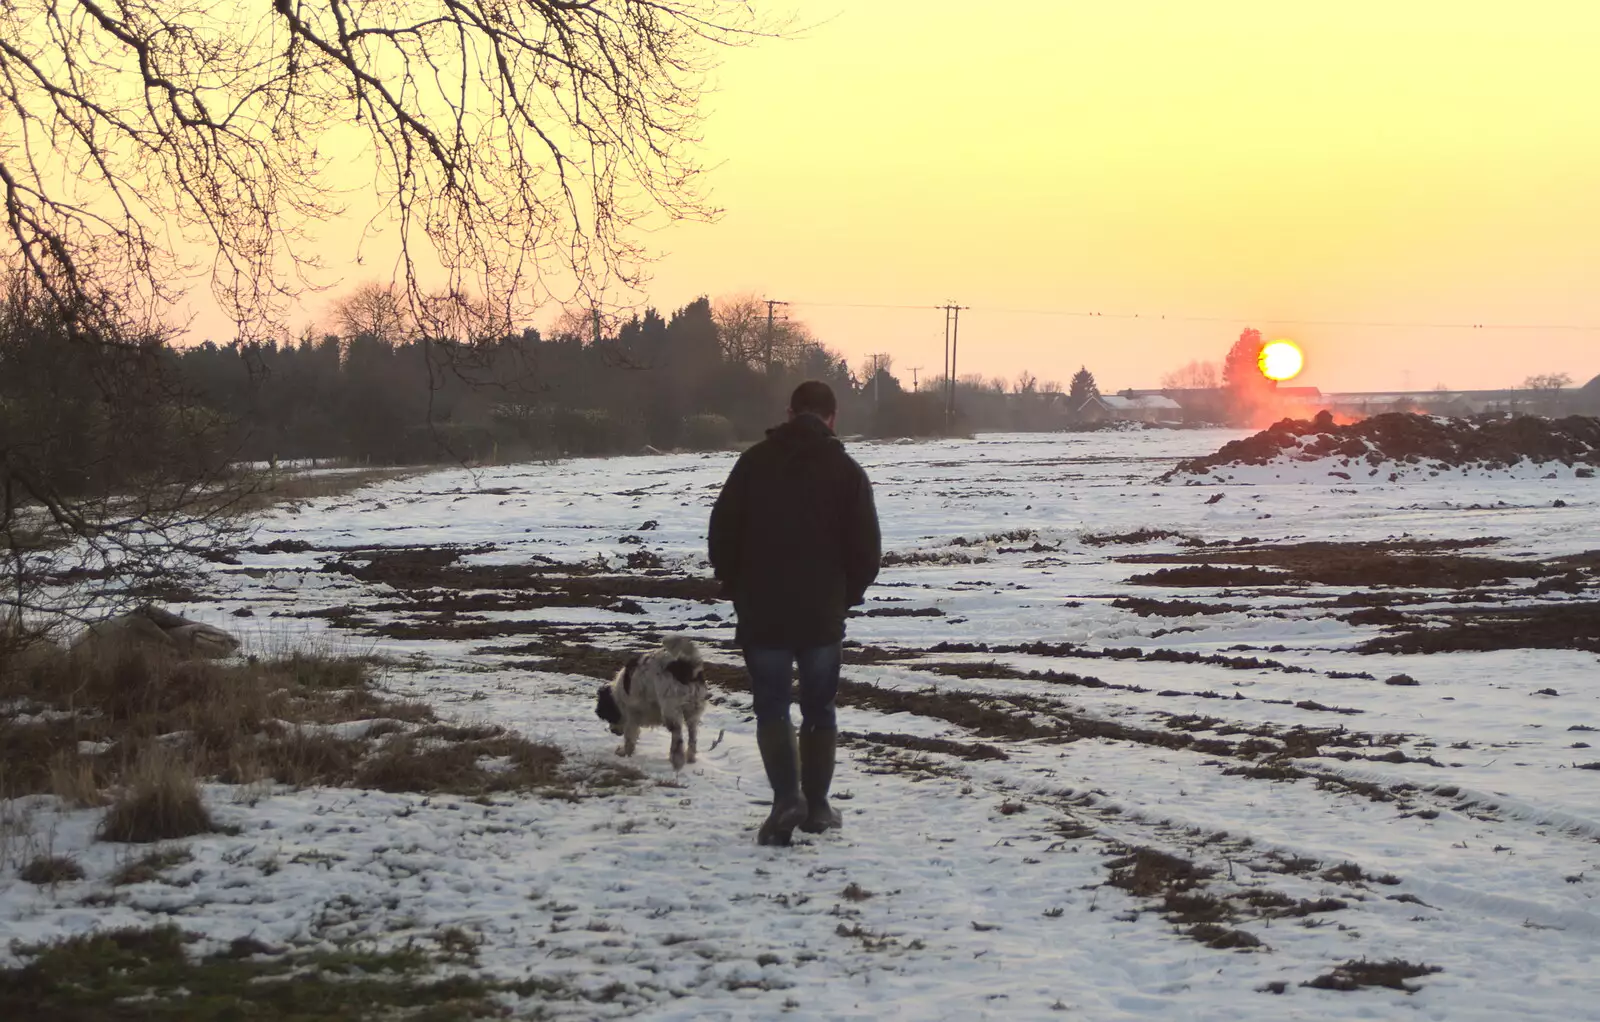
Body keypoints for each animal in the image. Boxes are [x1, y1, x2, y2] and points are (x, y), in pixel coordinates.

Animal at [595, 636, 707, 770]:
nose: (613, 731)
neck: (617, 695)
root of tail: (686, 666)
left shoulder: (631, 714)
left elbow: (629, 736)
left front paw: (624, 752)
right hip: (693, 711)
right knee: (692, 736)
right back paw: (690, 758)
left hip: (670, 709)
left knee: (677, 735)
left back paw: (677, 760)